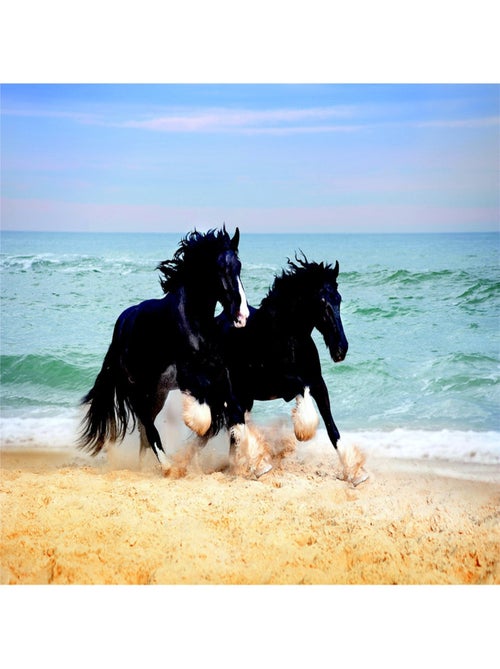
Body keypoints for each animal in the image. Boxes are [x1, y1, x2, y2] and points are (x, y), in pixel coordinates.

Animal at [78, 227, 250, 472]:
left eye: (239, 266)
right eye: (220, 268)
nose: (242, 315)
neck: (194, 323)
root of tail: (121, 327)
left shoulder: (220, 374)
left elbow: (235, 413)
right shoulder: (189, 377)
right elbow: (205, 418)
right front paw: (196, 425)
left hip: (157, 392)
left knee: (144, 429)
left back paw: (145, 467)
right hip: (138, 390)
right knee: (148, 426)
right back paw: (168, 466)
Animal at [208, 254, 368, 486]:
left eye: (338, 298)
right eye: (322, 302)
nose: (341, 349)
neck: (288, 337)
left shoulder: (319, 383)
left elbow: (332, 428)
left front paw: (355, 473)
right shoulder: (280, 383)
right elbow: (302, 390)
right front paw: (303, 430)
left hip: (245, 397)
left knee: (234, 430)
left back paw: (242, 466)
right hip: (230, 394)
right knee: (236, 423)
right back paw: (257, 466)